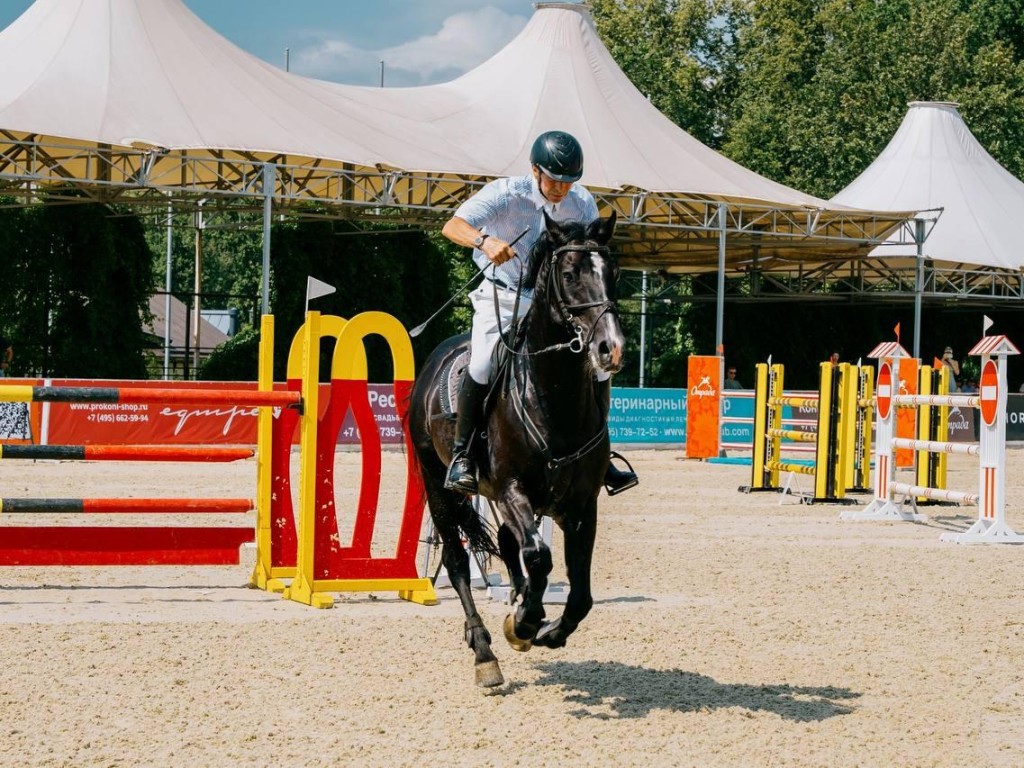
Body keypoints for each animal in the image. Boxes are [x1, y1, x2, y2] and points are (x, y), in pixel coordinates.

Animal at [407, 208, 622, 684]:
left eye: (613, 272)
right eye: (569, 274)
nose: (610, 348)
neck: (553, 395)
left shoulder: (582, 504)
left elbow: (580, 592)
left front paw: (546, 627)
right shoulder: (512, 490)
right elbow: (539, 557)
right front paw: (524, 623)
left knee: (507, 545)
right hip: (439, 483)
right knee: (456, 559)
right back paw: (485, 653)